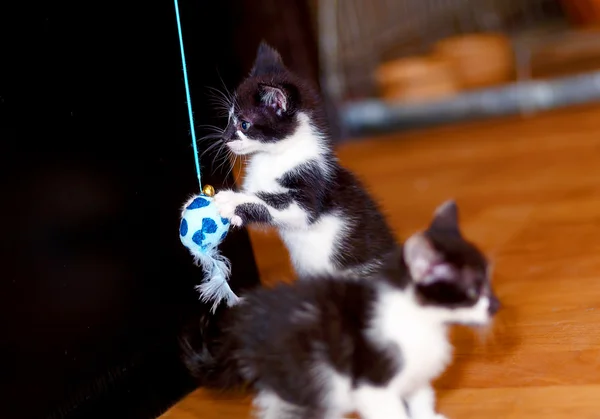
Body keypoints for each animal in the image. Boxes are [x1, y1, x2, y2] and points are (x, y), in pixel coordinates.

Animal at [182, 200, 502, 419]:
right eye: (474, 291)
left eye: (488, 281)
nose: (496, 306)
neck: (420, 320)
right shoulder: (373, 381)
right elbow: (390, 412)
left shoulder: (415, 376)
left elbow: (422, 399)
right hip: (311, 376)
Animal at [211, 41, 398, 282]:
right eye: (228, 119)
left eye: (244, 124)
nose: (224, 138)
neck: (277, 155)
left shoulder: (313, 184)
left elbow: (281, 203)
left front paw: (231, 201)